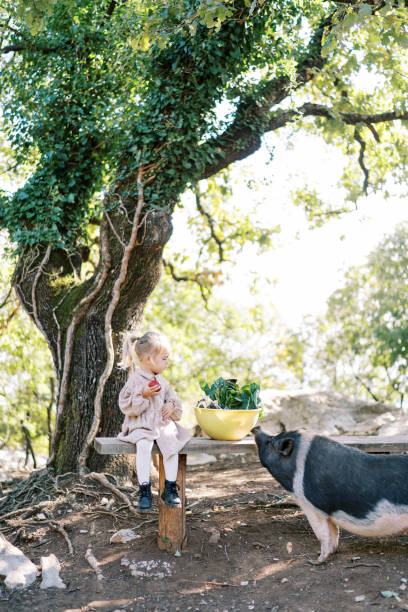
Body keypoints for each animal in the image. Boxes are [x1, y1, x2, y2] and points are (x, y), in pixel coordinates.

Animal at [253, 426, 408, 564]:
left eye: (270, 442)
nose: (256, 428)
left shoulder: (311, 507)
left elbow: (323, 534)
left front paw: (315, 561)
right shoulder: (328, 514)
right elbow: (334, 533)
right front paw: (329, 553)